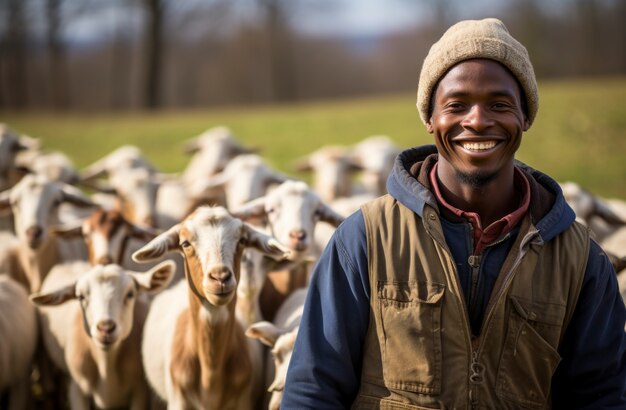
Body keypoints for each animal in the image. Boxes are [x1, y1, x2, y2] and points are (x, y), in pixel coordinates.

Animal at [30, 262, 174, 410]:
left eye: (130, 294)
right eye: (80, 296)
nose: (106, 328)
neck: (106, 364)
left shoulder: (139, 392)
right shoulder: (77, 390)